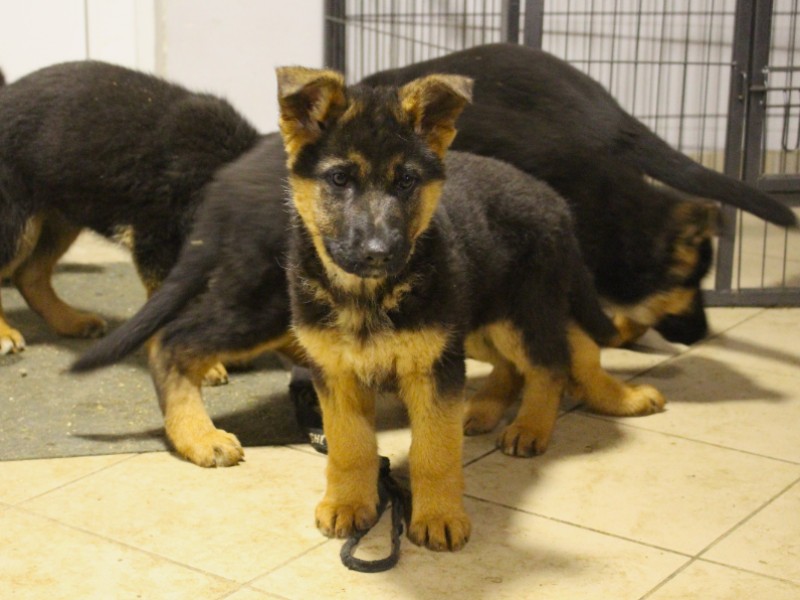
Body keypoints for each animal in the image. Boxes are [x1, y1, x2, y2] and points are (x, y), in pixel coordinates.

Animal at [0, 60, 259, 375]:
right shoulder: (158, 240)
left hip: (61, 217)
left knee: (29, 275)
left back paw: (71, 321)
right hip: (16, 224)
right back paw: (4, 335)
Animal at [274, 67, 665, 550]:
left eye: (406, 181)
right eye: (341, 179)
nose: (379, 253)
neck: (368, 295)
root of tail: (554, 201)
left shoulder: (434, 368)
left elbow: (433, 450)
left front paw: (438, 515)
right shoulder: (337, 372)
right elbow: (351, 445)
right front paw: (348, 502)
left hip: (522, 315)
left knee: (551, 366)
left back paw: (531, 427)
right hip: (477, 322)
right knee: (515, 366)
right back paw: (482, 410)